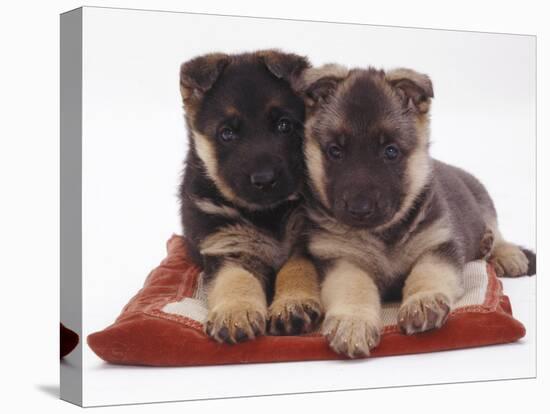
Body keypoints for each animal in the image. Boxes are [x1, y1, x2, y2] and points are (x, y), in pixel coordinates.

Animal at [177, 51, 324, 342]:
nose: (265, 180)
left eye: (284, 125)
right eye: (227, 133)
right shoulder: (227, 247)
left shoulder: (305, 241)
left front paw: (292, 304)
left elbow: (297, 269)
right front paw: (235, 312)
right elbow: (235, 280)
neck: (268, 214)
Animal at [300, 66, 536, 358]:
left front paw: (422, 301)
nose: (359, 209)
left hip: (482, 200)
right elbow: (353, 286)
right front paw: (353, 322)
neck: (384, 235)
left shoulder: (438, 247)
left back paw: (504, 252)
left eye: (390, 151)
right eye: (335, 151)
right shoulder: (340, 260)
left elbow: (427, 273)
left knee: (496, 230)